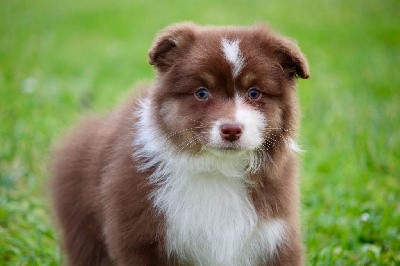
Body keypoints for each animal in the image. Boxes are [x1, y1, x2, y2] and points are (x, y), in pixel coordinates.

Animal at [50, 22, 310, 266]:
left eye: (254, 93)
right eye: (202, 93)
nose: (231, 130)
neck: (218, 170)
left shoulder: (276, 234)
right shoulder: (141, 237)